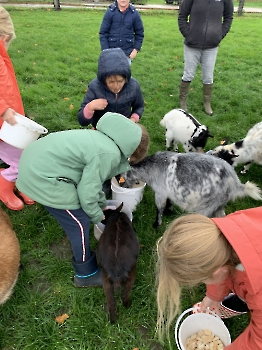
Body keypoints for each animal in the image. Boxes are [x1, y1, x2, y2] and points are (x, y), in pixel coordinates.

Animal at [121, 152, 262, 228]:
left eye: (121, 177)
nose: (125, 187)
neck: (151, 168)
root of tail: (236, 184)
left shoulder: (160, 192)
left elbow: (159, 208)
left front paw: (157, 224)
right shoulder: (170, 191)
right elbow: (169, 202)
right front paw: (169, 211)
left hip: (207, 206)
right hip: (219, 204)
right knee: (222, 217)